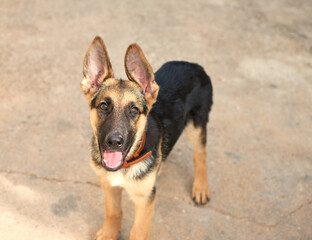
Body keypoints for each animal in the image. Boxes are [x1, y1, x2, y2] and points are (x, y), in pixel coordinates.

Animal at [80, 36, 212, 240]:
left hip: (197, 124)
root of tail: (193, 65)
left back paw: (200, 188)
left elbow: (138, 231)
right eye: (103, 106)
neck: (126, 164)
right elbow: (113, 211)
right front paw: (110, 233)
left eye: (134, 110)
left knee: (200, 154)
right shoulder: (108, 185)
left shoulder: (145, 200)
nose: (114, 142)